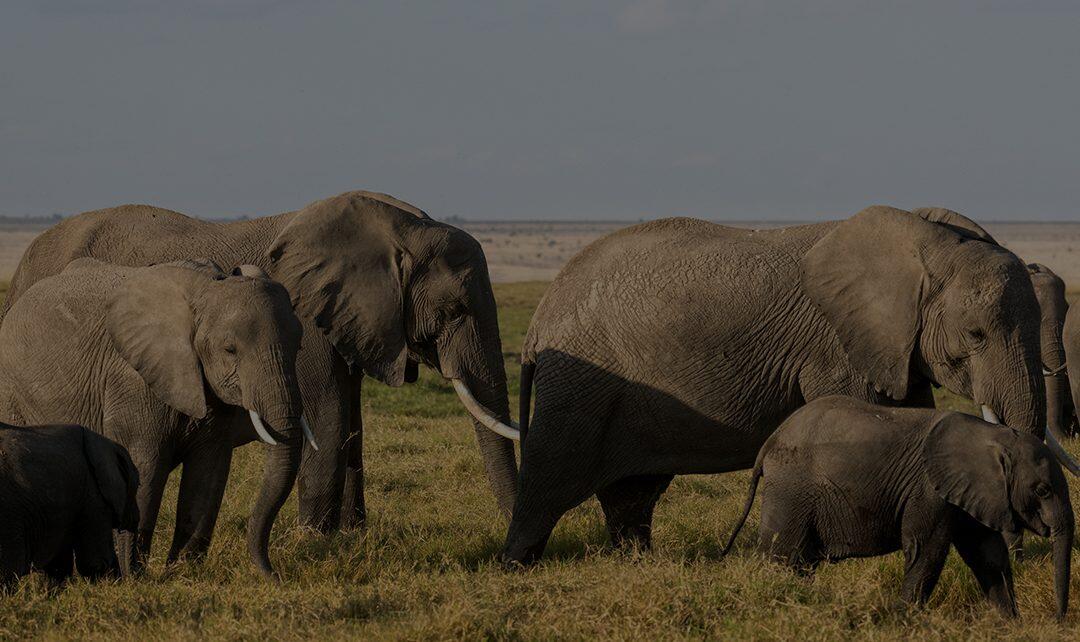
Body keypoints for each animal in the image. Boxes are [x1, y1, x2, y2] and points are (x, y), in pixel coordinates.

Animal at [2, 189, 518, 529]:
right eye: (455, 309)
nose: (514, 543)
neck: (404, 227)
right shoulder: (306, 320)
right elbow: (328, 418)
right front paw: (317, 544)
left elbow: (352, 423)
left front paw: (350, 538)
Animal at [505, 202, 1080, 562]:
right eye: (976, 335)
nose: (1019, 550)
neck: (924, 244)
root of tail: (540, 318)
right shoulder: (838, 341)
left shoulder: (894, 344)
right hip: (579, 386)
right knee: (549, 478)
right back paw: (518, 564)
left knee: (633, 492)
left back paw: (638, 564)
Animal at [717, 395, 1071, 618]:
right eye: (1042, 490)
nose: (1057, 619)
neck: (990, 435)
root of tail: (769, 443)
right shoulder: (929, 489)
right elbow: (926, 551)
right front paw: (906, 620)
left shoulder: (973, 492)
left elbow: (988, 554)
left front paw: (1009, 623)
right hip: (791, 489)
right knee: (781, 555)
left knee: (799, 561)